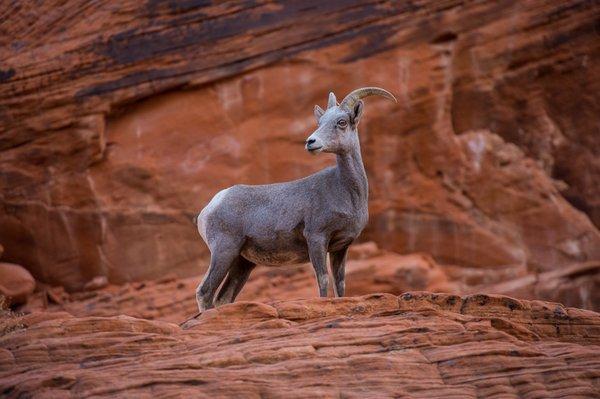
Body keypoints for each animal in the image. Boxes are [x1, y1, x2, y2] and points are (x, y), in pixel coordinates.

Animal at [195, 86, 396, 312]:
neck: (346, 192)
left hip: (242, 261)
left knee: (223, 297)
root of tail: (211, 205)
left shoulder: (341, 247)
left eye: (342, 122)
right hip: (224, 250)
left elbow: (340, 284)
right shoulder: (316, 238)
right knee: (205, 291)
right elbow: (323, 279)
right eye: (320, 122)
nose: (311, 142)